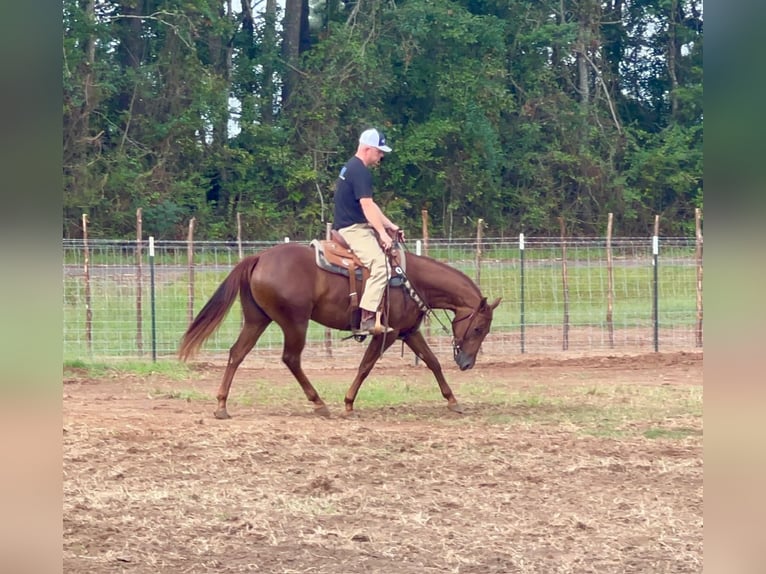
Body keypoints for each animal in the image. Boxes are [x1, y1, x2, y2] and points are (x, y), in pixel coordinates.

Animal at [180, 241, 504, 420]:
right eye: (478, 328)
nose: (467, 363)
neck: (412, 280)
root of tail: (258, 258)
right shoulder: (387, 333)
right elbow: (366, 366)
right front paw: (348, 404)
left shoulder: (408, 332)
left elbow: (432, 362)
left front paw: (453, 401)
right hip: (294, 322)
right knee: (291, 359)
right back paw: (319, 404)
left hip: (257, 320)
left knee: (237, 353)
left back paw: (222, 405)